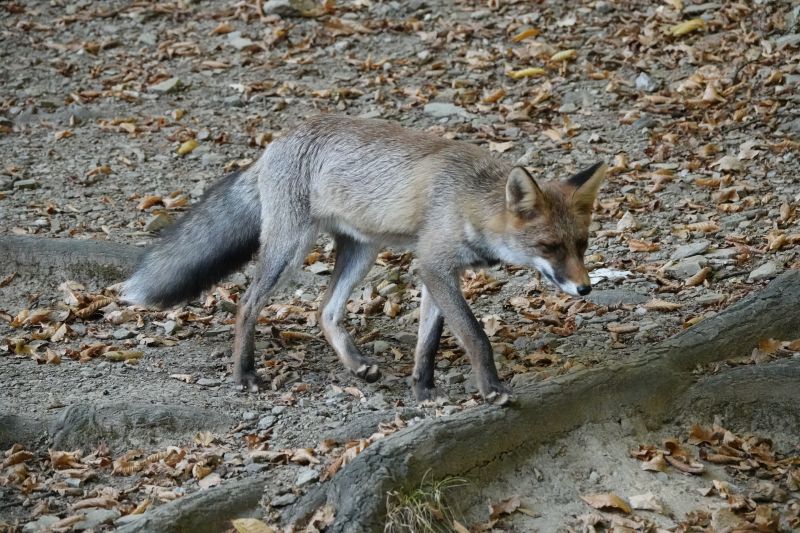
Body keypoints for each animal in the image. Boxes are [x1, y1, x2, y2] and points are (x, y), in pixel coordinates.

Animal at [122, 115, 604, 404]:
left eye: (580, 244)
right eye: (549, 248)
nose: (585, 288)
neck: (470, 199)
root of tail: (275, 143)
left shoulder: (437, 271)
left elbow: (428, 341)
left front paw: (422, 389)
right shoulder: (434, 265)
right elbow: (474, 335)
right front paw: (492, 388)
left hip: (361, 252)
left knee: (324, 311)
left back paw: (355, 365)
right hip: (289, 250)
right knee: (247, 304)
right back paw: (244, 374)